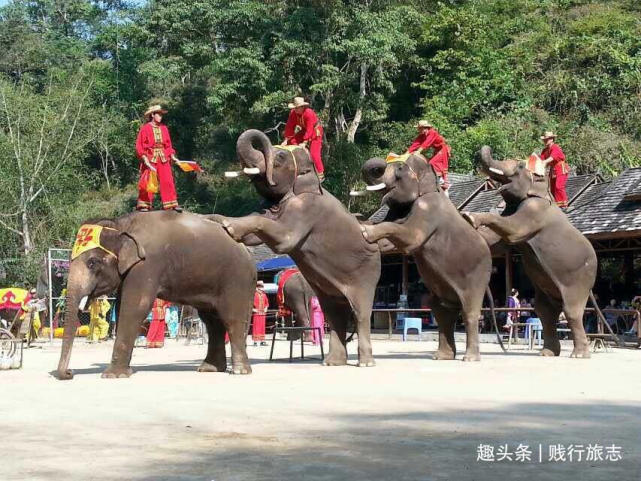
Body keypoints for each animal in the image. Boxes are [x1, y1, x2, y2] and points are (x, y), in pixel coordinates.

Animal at [55, 211, 255, 378]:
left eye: (92, 263)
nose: (70, 373)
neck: (122, 225)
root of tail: (246, 250)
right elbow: (121, 307)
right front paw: (125, 372)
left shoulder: (147, 264)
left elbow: (134, 307)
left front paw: (112, 375)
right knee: (212, 322)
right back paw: (209, 369)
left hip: (236, 279)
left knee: (232, 318)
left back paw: (239, 371)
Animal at [210, 129, 380, 366]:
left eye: (280, 158)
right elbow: (255, 235)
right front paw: (213, 219)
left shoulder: (307, 207)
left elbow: (285, 239)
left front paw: (229, 226)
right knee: (335, 313)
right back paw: (331, 362)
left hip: (366, 275)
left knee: (361, 313)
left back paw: (364, 362)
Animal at [360, 154, 496, 360]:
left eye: (400, 169)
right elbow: (392, 243)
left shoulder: (429, 208)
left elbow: (410, 238)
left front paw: (366, 231)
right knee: (442, 312)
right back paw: (442, 357)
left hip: (478, 276)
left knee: (469, 311)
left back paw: (469, 358)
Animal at [460, 145, 596, 356]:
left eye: (520, 166)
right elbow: (498, 242)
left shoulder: (534, 211)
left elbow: (513, 231)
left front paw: (469, 217)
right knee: (545, 311)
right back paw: (547, 353)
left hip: (580, 278)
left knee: (572, 311)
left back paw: (578, 355)